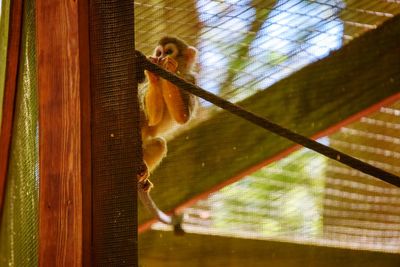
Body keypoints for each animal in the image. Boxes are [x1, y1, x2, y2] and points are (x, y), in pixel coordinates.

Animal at [138, 36, 199, 191]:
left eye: (169, 52)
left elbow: (182, 117)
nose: (161, 58)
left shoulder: (191, 80)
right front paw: (153, 75)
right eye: (159, 53)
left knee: (159, 144)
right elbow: (152, 119)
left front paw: (169, 66)